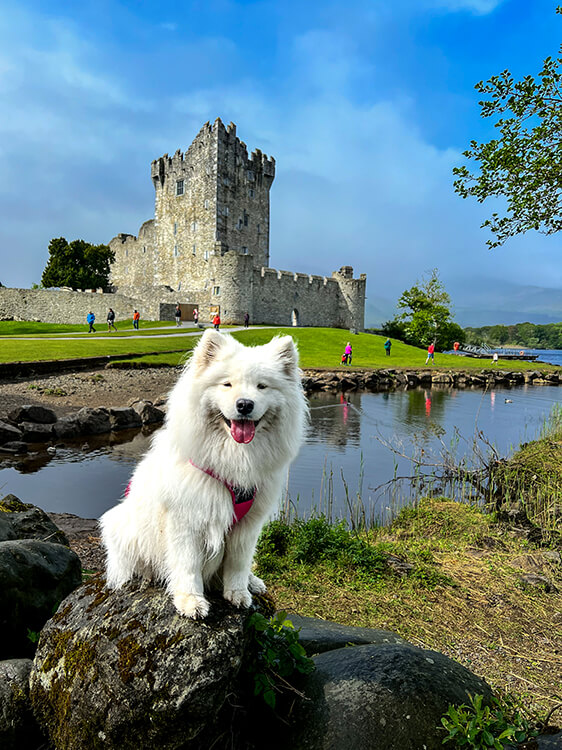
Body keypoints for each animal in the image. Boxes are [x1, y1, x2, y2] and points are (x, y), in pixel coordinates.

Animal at [99, 332, 306, 620]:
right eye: (227, 384)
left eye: (262, 387)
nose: (245, 404)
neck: (234, 458)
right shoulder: (187, 520)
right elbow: (188, 565)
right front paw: (191, 601)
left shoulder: (248, 524)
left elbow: (239, 564)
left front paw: (238, 593)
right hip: (122, 526)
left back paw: (253, 582)